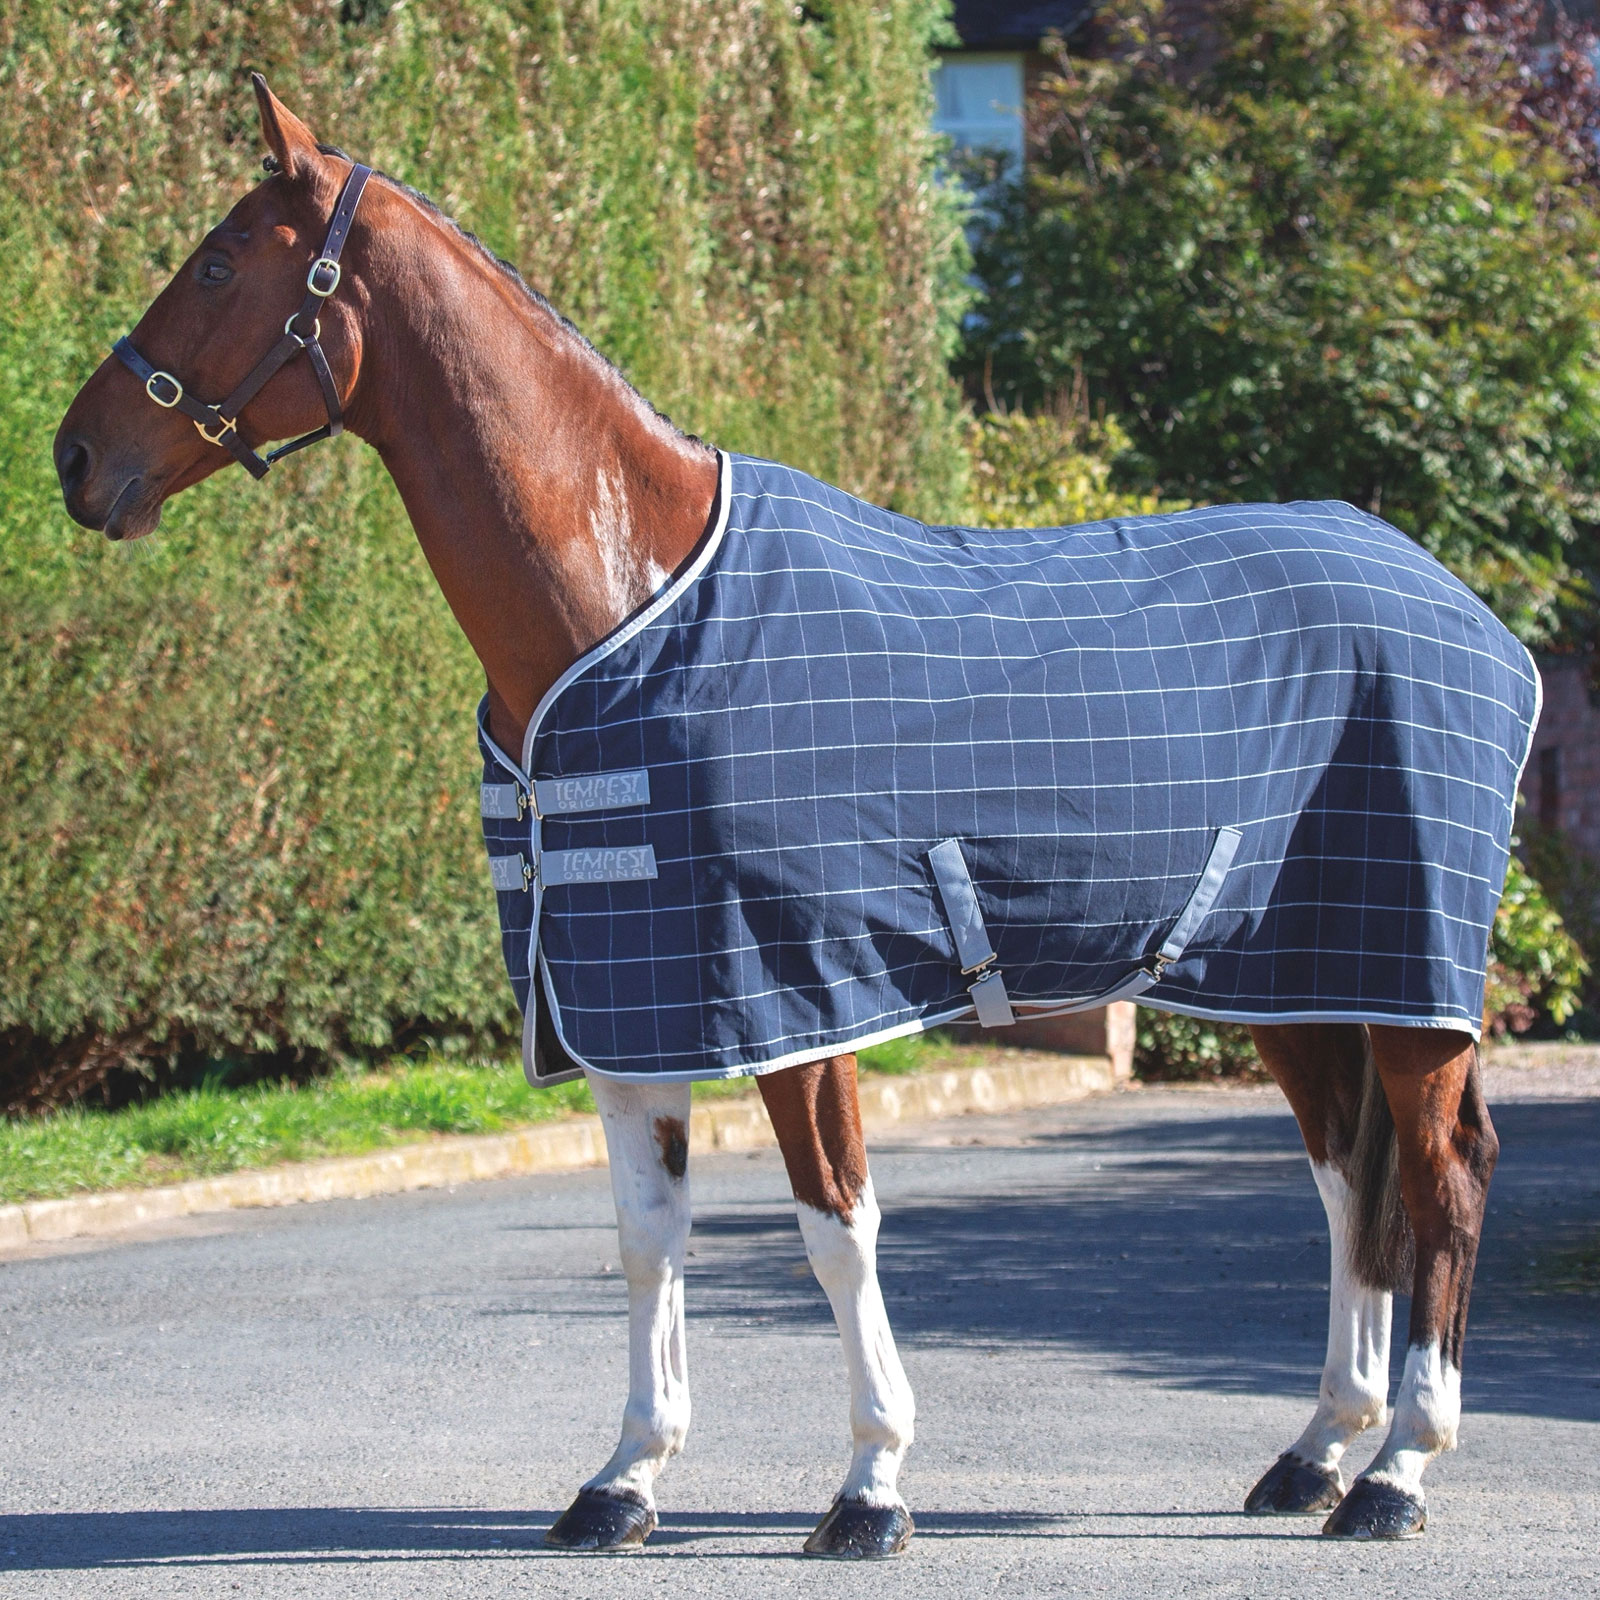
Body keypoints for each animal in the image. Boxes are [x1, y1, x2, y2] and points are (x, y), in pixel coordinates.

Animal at [55, 79, 1523, 1557]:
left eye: (218, 263)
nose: (74, 456)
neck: (625, 595)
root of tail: (1464, 607)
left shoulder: (796, 996)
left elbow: (835, 1226)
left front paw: (870, 1484)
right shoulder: (624, 992)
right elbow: (648, 1236)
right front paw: (624, 1478)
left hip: (1411, 975)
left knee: (1444, 1172)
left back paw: (1399, 1469)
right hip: (1299, 976)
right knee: (1349, 1176)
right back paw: (1318, 1455)